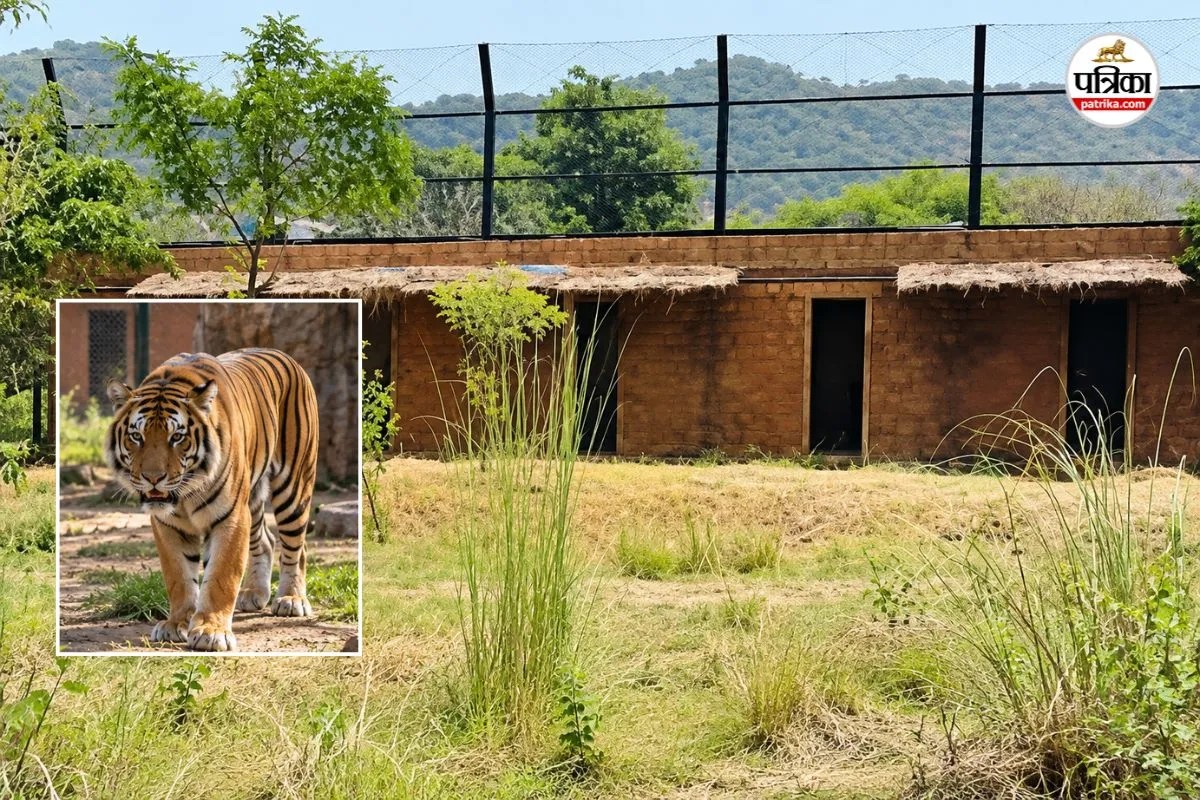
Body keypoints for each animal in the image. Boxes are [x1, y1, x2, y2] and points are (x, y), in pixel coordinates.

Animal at [105, 347, 319, 652]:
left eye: (177, 437)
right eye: (137, 436)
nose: (153, 478)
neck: (184, 495)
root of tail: (284, 355)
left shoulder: (231, 517)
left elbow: (220, 577)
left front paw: (210, 631)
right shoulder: (168, 525)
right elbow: (179, 577)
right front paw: (176, 624)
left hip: (293, 485)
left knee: (296, 546)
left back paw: (291, 599)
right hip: (253, 498)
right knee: (265, 540)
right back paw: (254, 594)